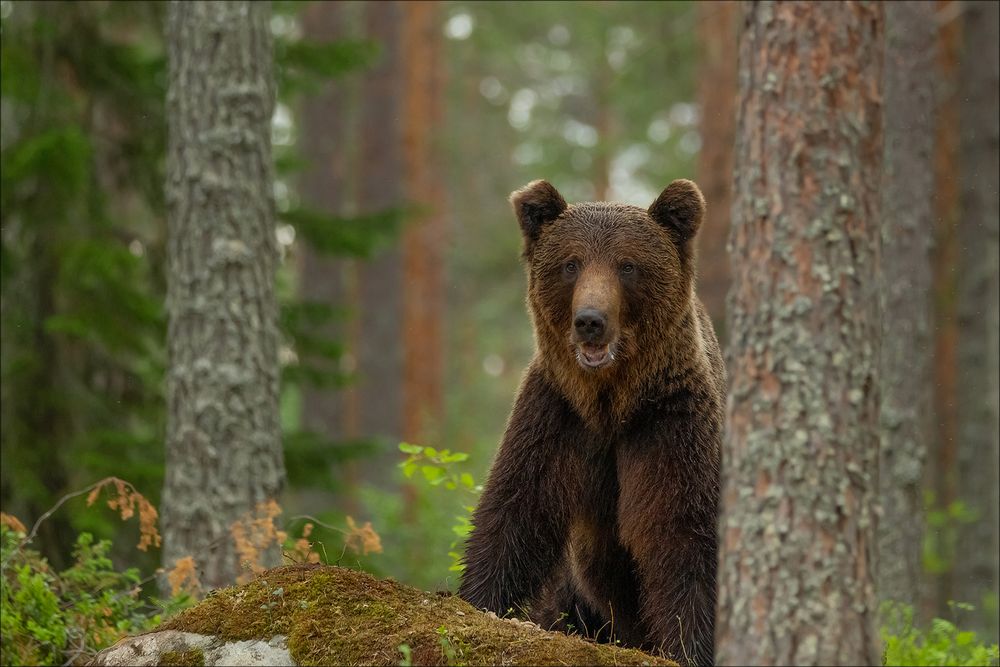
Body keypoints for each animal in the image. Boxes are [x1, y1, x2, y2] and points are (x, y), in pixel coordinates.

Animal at [458, 180, 724, 664]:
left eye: (627, 265)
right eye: (571, 263)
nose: (590, 321)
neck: (610, 402)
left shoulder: (671, 421)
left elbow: (684, 529)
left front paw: (691, 645)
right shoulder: (557, 413)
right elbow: (518, 507)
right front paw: (480, 599)